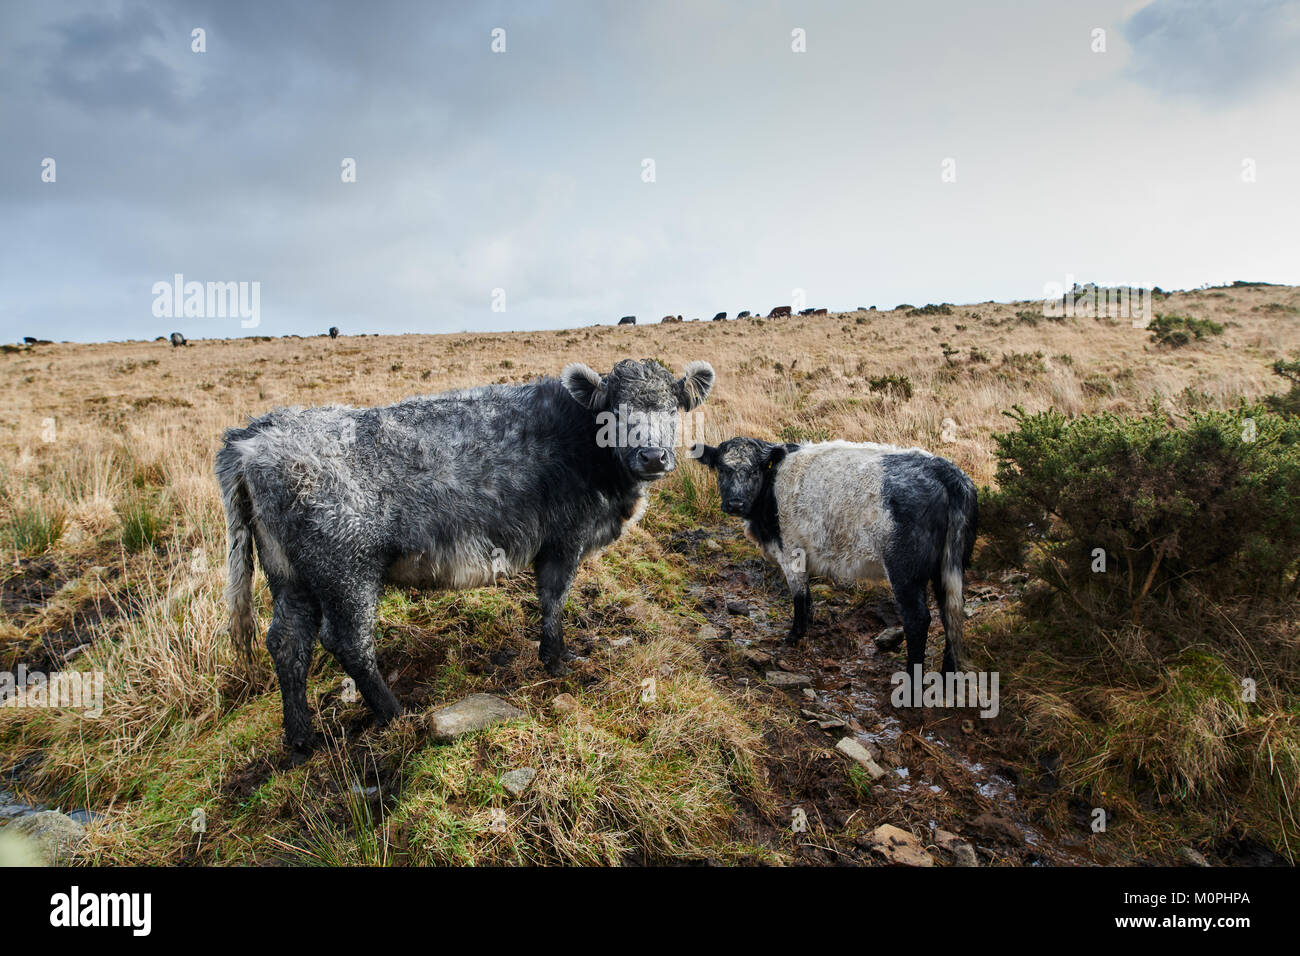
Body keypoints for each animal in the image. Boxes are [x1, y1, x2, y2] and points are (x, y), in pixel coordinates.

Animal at [217, 356, 717, 749]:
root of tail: (255, 434)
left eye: (672, 407)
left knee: (287, 642)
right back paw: (394, 713)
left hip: (290, 577)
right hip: (346, 571)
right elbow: (554, 601)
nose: (652, 457)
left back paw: (301, 739)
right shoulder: (563, 541)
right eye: (617, 408)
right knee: (347, 642)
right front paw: (556, 659)